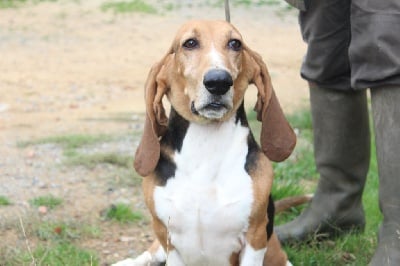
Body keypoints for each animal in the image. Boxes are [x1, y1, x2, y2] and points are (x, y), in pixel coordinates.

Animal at [111, 19, 294, 264]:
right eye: (190, 43)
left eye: (235, 43)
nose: (219, 81)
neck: (206, 146)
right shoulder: (166, 236)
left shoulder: (255, 237)